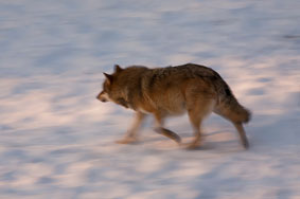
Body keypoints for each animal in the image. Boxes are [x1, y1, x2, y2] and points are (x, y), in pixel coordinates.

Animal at [96, 63, 251, 148]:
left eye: (103, 89)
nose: (96, 97)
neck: (128, 86)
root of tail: (213, 74)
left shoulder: (158, 112)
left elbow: (157, 129)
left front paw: (176, 138)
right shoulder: (142, 114)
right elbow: (131, 131)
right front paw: (125, 142)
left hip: (193, 114)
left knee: (201, 135)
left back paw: (189, 147)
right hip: (218, 109)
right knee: (237, 121)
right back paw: (244, 145)